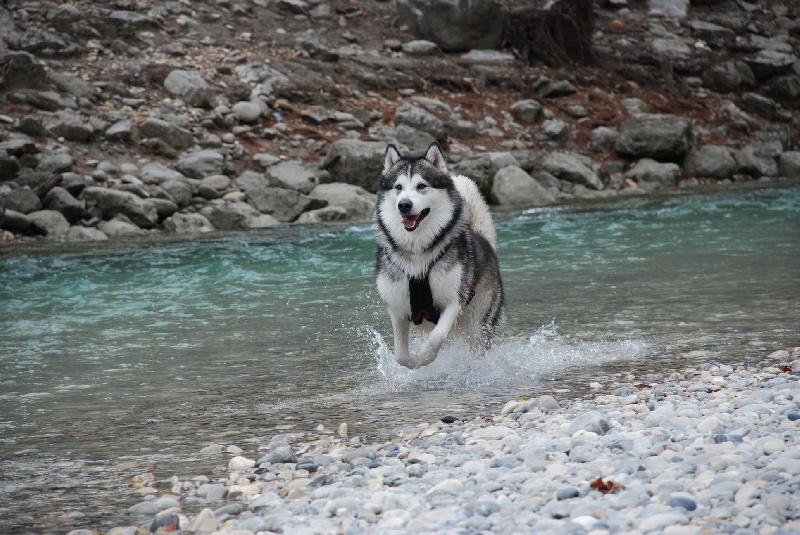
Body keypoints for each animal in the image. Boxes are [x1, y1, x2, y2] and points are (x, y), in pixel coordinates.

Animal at [376, 142, 506, 368]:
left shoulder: (454, 300)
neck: (418, 252)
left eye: (421, 186)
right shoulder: (397, 307)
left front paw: (424, 356)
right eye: (398, 187)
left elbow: (437, 337)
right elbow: (400, 355)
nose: (404, 205)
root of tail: (483, 239)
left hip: (478, 321)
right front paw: (415, 362)